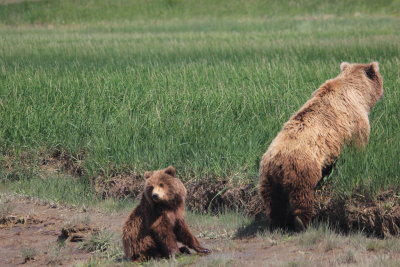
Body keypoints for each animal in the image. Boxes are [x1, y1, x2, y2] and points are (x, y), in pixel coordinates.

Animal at [260, 62, 384, 232]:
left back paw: (276, 222)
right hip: (302, 169)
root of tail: (276, 161)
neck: (358, 92)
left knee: (273, 202)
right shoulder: (356, 120)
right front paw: (361, 156)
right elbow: (358, 143)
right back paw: (301, 222)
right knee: (302, 196)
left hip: (268, 178)